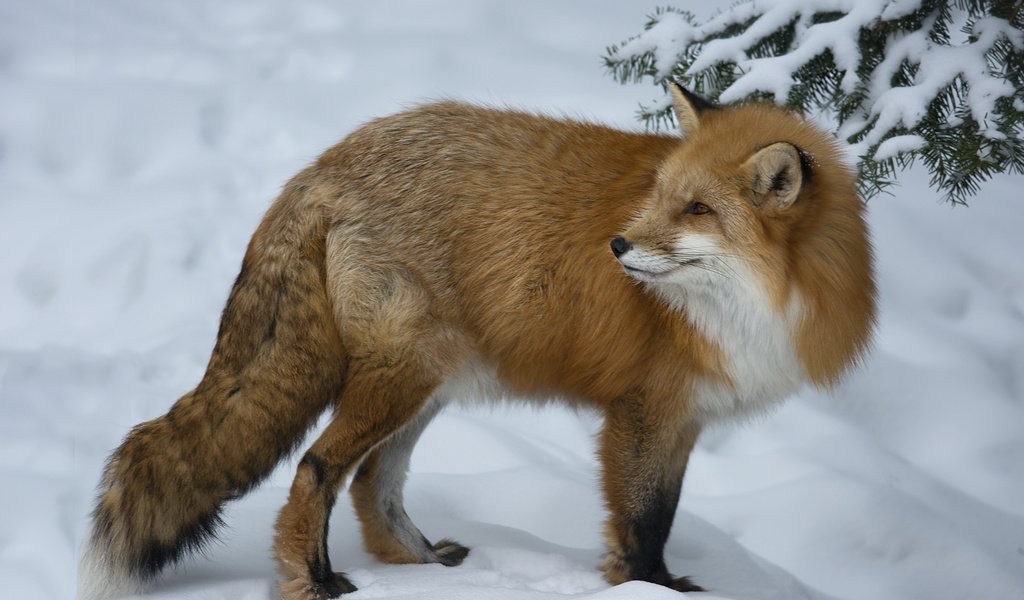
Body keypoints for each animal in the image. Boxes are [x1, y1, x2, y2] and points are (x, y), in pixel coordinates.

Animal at [81, 85, 872, 597]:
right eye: (661, 197)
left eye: (698, 209)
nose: (617, 245)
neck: (764, 303)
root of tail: (323, 165)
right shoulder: (642, 412)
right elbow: (642, 525)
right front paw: (644, 589)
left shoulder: (687, 419)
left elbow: (664, 517)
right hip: (405, 374)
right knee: (317, 468)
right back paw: (315, 580)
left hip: (431, 383)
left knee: (372, 482)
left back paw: (422, 567)